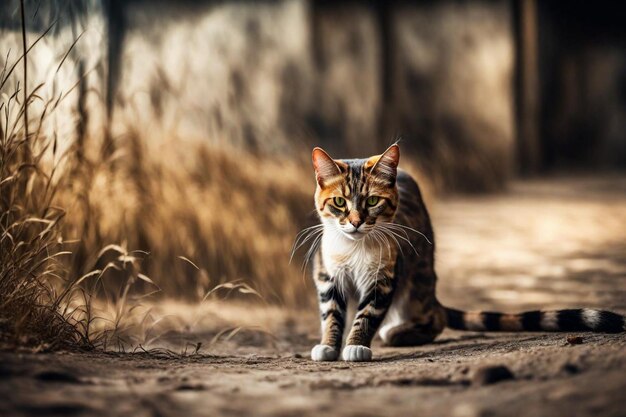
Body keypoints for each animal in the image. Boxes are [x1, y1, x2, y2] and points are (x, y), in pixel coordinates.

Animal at [302, 144, 620, 360]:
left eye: (371, 201)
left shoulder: (384, 275)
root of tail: (432, 294)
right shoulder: (327, 272)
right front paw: (329, 345)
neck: (354, 248)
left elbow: (367, 313)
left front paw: (356, 344)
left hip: (414, 284)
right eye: (339, 202)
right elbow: (331, 313)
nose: (356, 222)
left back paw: (398, 332)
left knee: (434, 318)